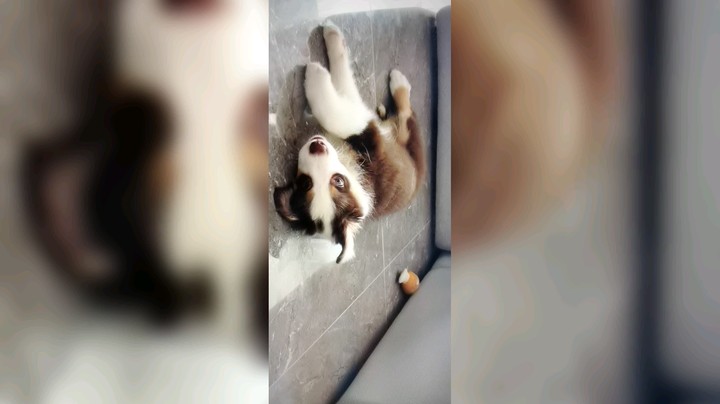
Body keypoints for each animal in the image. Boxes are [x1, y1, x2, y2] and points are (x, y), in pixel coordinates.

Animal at [273, 23, 426, 264]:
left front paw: (328, 46)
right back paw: (392, 95)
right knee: (403, 117)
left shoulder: (366, 137)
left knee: (405, 116)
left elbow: (338, 102)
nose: (317, 146)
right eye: (307, 183)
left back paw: (395, 88)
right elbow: (339, 103)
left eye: (338, 181)